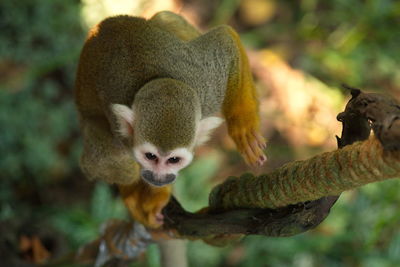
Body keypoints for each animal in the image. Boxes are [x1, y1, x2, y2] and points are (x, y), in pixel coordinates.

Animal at [76, 10, 268, 228]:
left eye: (173, 160)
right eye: (151, 156)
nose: (159, 177)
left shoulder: (208, 88)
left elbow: (225, 39)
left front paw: (243, 128)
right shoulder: (119, 140)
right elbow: (104, 164)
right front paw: (148, 191)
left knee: (166, 18)